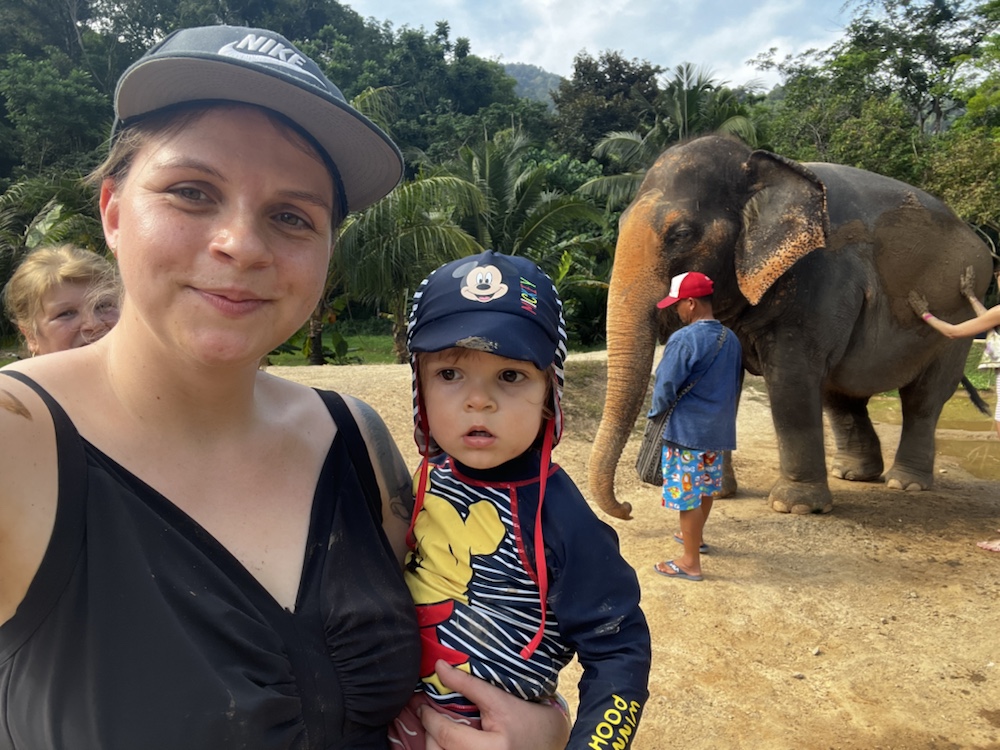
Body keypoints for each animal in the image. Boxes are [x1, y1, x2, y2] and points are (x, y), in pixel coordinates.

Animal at [589, 135, 992, 519]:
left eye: (682, 234)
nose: (626, 507)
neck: (758, 162)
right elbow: (729, 378)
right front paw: (717, 494)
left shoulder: (820, 279)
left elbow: (791, 378)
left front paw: (795, 507)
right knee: (840, 396)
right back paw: (853, 475)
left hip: (958, 320)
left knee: (923, 399)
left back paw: (904, 484)